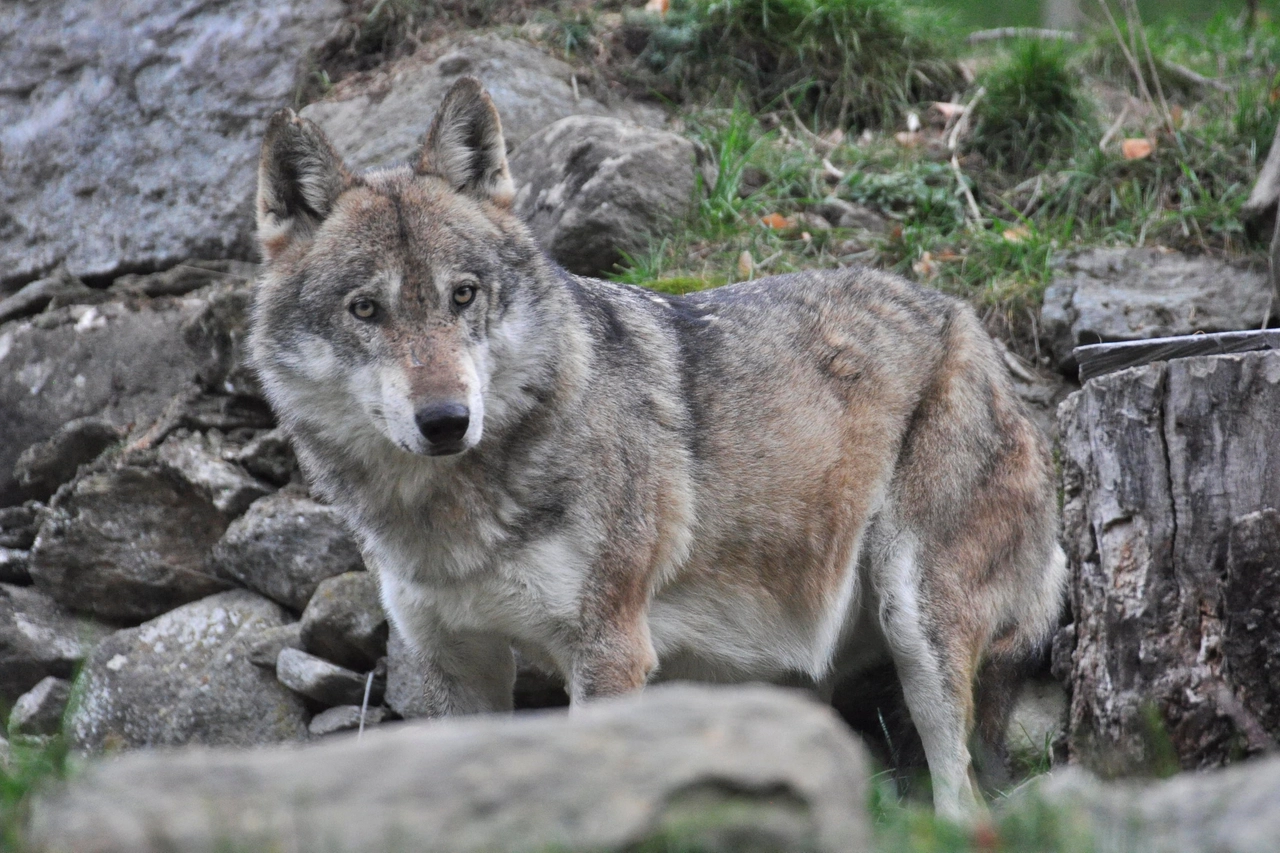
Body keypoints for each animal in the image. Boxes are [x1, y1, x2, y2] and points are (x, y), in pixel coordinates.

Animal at [244, 76, 1064, 814]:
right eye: (365, 309)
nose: (445, 420)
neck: (453, 515)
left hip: (916, 624)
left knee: (964, 795)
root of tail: (968, 322)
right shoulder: (456, 664)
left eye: (463, 294)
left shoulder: (610, 652)